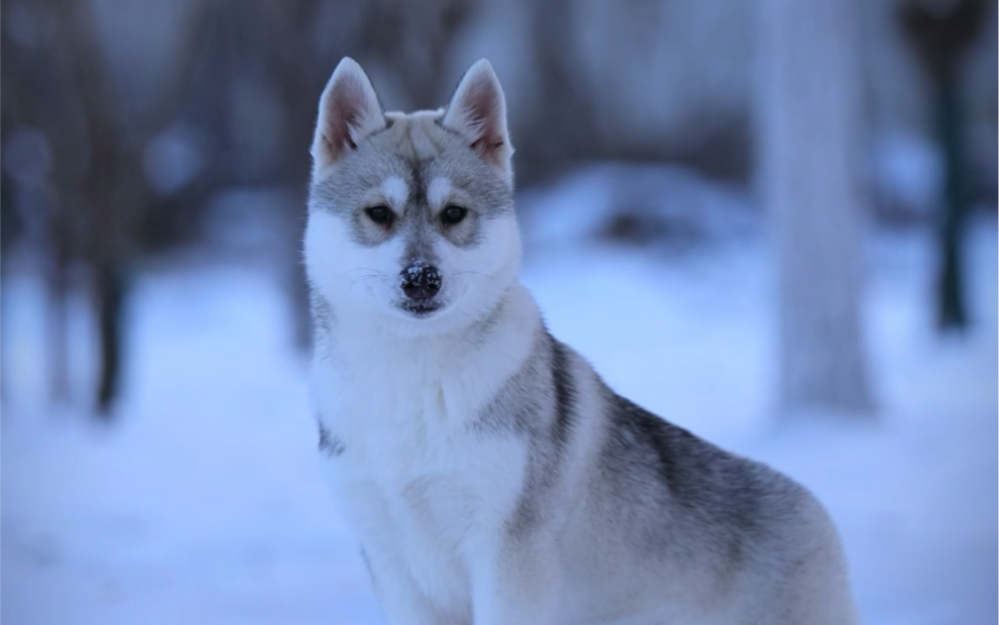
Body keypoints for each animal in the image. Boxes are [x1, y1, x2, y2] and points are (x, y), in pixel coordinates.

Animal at [304, 58, 860, 624]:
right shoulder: (390, 557)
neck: (411, 378)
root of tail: (818, 512)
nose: (421, 279)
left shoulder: (506, 554)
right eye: (379, 213)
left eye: (454, 213)